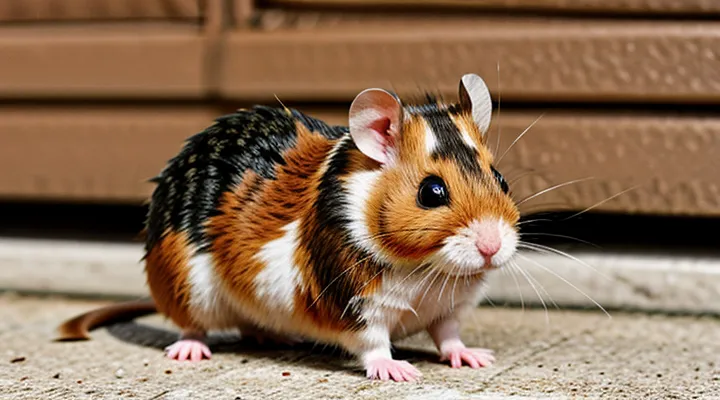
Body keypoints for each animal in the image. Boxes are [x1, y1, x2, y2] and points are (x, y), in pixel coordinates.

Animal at [57, 73, 520, 382]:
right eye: (431, 191)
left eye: (501, 180)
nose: (493, 248)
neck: (428, 271)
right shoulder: (354, 304)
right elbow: (373, 344)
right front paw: (397, 371)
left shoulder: (450, 308)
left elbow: (448, 335)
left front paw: (476, 357)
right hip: (190, 289)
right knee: (193, 323)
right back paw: (191, 350)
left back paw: (278, 339)